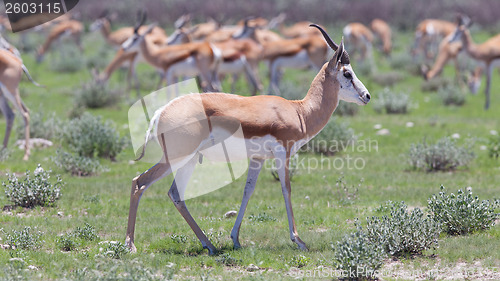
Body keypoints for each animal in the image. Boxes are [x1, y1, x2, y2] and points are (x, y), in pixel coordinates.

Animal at [123, 24, 370, 253]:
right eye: (347, 73)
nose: (366, 96)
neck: (299, 111)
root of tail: (162, 111)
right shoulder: (282, 153)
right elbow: (286, 188)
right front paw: (298, 240)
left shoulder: (258, 158)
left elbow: (247, 191)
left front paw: (236, 239)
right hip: (176, 158)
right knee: (139, 183)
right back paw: (131, 245)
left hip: (189, 159)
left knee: (174, 194)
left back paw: (209, 245)